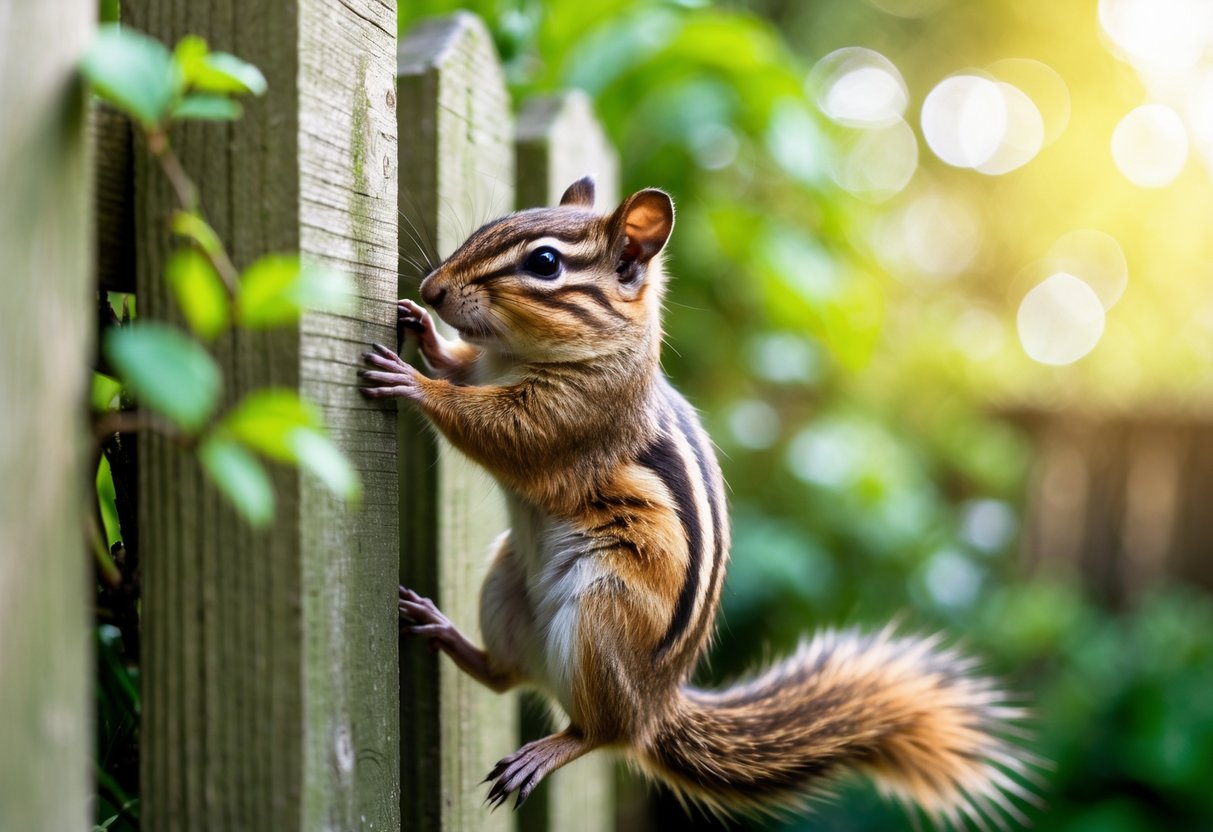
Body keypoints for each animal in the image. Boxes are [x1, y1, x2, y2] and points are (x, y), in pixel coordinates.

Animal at [360, 176, 1033, 825]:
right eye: (492, 225)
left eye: (544, 263)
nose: (432, 289)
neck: (517, 355)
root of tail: (656, 708)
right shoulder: (485, 368)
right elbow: (461, 367)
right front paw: (422, 330)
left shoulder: (569, 419)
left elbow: (495, 429)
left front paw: (413, 382)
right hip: (504, 584)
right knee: (505, 678)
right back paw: (441, 629)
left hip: (601, 618)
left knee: (599, 732)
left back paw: (549, 748)